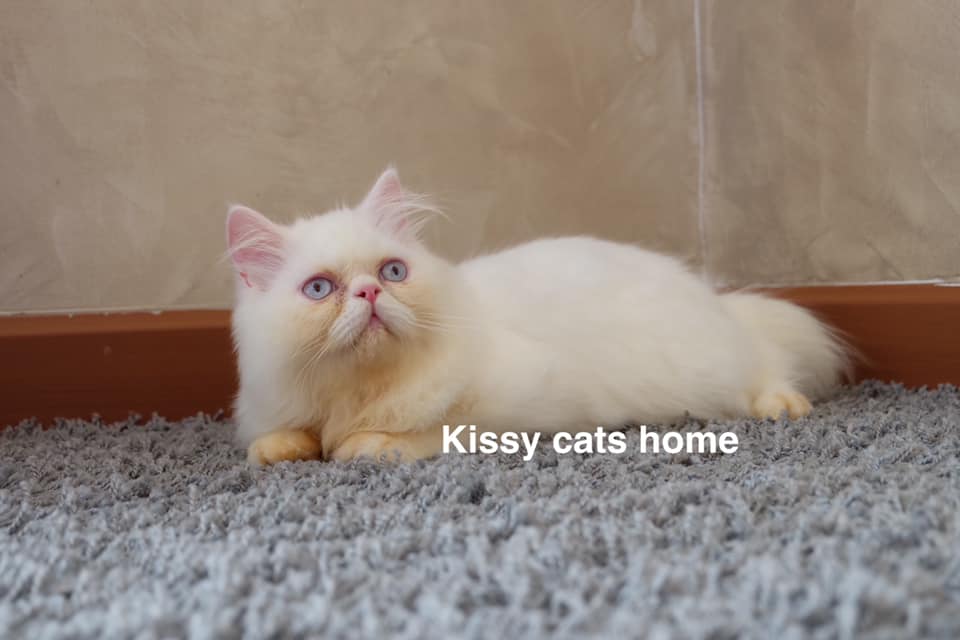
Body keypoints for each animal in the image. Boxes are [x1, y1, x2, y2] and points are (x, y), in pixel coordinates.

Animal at [227, 168, 848, 465]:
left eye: (392, 272)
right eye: (320, 289)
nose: (369, 294)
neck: (361, 391)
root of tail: (713, 298)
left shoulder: (523, 401)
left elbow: (432, 431)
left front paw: (364, 447)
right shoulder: (274, 407)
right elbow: (277, 439)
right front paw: (286, 451)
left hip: (711, 368)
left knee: (766, 365)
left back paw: (784, 405)